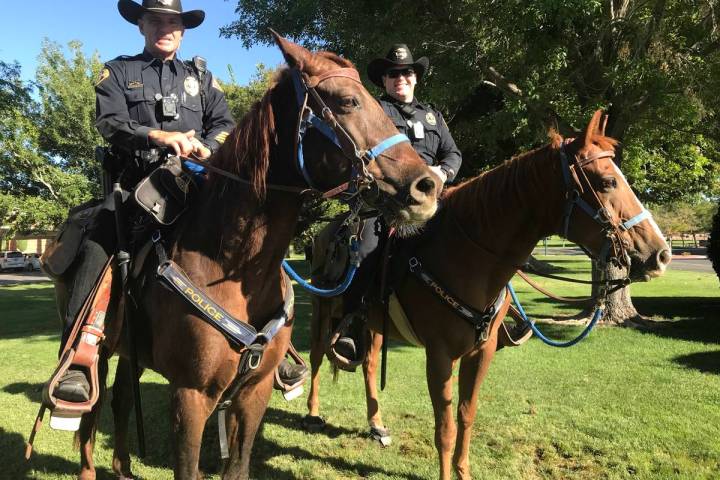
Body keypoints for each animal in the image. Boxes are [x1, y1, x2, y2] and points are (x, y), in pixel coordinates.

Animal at [64, 31, 438, 478]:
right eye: (349, 101)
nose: (427, 187)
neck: (232, 266)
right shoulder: (190, 396)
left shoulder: (254, 393)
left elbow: (239, 464)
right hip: (99, 351)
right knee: (91, 412)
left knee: (121, 400)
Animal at [306, 110, 672, 480]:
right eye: (608, 182)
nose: (661, 254)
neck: (467, 256)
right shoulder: (439, 355)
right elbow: (445, 428)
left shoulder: (482, 351)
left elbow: (466, 414)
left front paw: (463, 471)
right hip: (323, 308)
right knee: (318, 354)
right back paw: (312, 412)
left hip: (375, 324)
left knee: (368, 363)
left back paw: (377, 424)